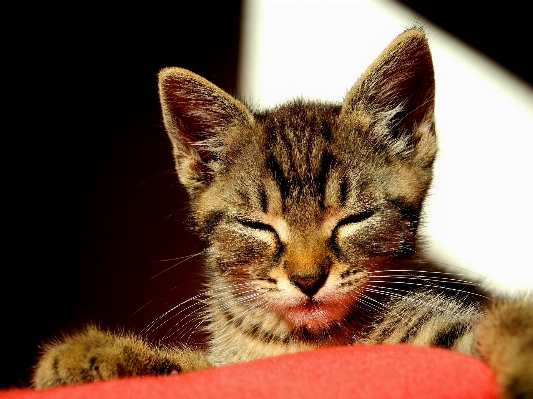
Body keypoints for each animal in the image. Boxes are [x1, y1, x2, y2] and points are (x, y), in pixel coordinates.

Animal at [33, 28, 532, 399]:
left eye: (354, 219)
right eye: (258, 226)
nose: (308, 280)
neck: (305, 343)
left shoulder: (442, 330)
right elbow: (199, 369)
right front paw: (88, 354)